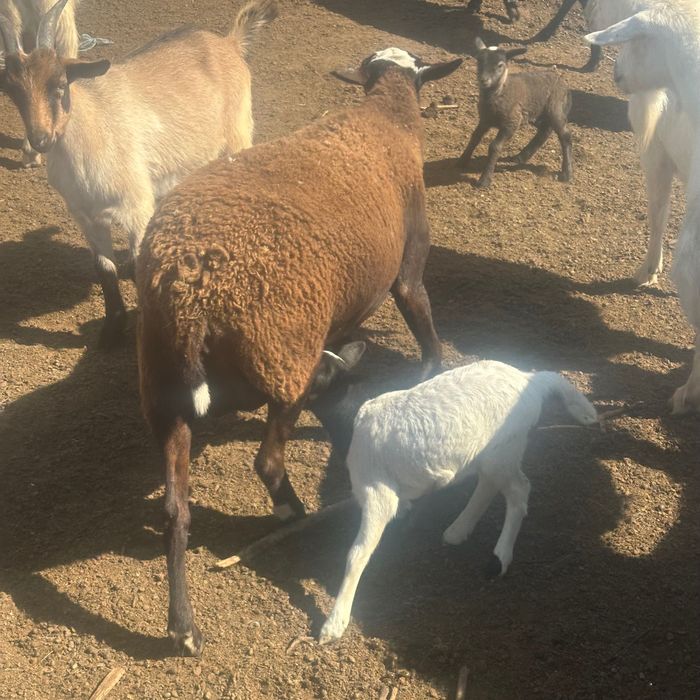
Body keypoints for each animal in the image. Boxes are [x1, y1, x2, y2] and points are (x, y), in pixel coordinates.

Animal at [136, 46, 461, 655]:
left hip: (165, 391)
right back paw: (292, 511)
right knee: (266, 462)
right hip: (281, 358)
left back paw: (183, 628)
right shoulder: (406, 271)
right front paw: (431, 379)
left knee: (175, 508)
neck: (386, 117)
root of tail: (190, 298)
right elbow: (426, 333)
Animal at [314, 357, 599, 644]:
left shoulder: (376, 490)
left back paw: (499, 557)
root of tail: (529, 379)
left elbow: (357, 553)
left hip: (505, 449)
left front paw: (334, 623)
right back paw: (459, 530)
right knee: (488, 483)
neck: (352, 418)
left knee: (518, 491)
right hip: (494, 453)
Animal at [457, 38, 573, 188]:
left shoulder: (511, 123)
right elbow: (474, 138)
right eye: (479, 60)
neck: (499, 93)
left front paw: (484, 180)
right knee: (544, 131)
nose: (483, 80)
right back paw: (521, 157)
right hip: (537, 114)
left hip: (555, 109)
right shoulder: (484, 120)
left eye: (500, 65)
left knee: (565, 136)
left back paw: (566, 173)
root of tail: (564, 85)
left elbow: (494, 146)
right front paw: (462, 161)